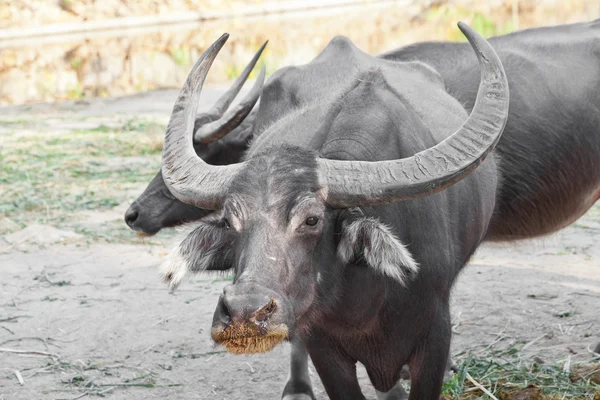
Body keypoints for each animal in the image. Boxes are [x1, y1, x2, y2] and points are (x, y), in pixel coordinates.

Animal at [157, 22, 508, 400]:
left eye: (312, 220)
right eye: (230, 222)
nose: (243, 313)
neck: (369, 292)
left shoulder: (434, 337)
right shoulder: (323, 345)